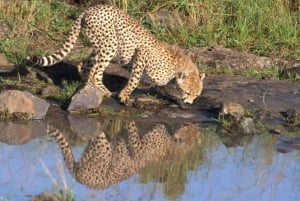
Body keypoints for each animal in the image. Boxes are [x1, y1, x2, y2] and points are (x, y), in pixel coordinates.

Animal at [27, 4, 205, 104]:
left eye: (197, 95)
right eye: (187, 92)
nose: (189, 102)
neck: (177, 66)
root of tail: (91, 7)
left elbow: (161, 87)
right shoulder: (141, 55)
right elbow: (134, 80)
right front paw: (124, 95)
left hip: (100, 44)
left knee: (84, 65)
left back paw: (87, 85)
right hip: (110, 44)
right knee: (96, 71)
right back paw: (102, 90)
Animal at [47, 121, 200, 190]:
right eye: (188, 125)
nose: (194, 123)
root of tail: (78, 179)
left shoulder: (138, 147)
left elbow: (132, 131)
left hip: (103, 150)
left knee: (96, 134)